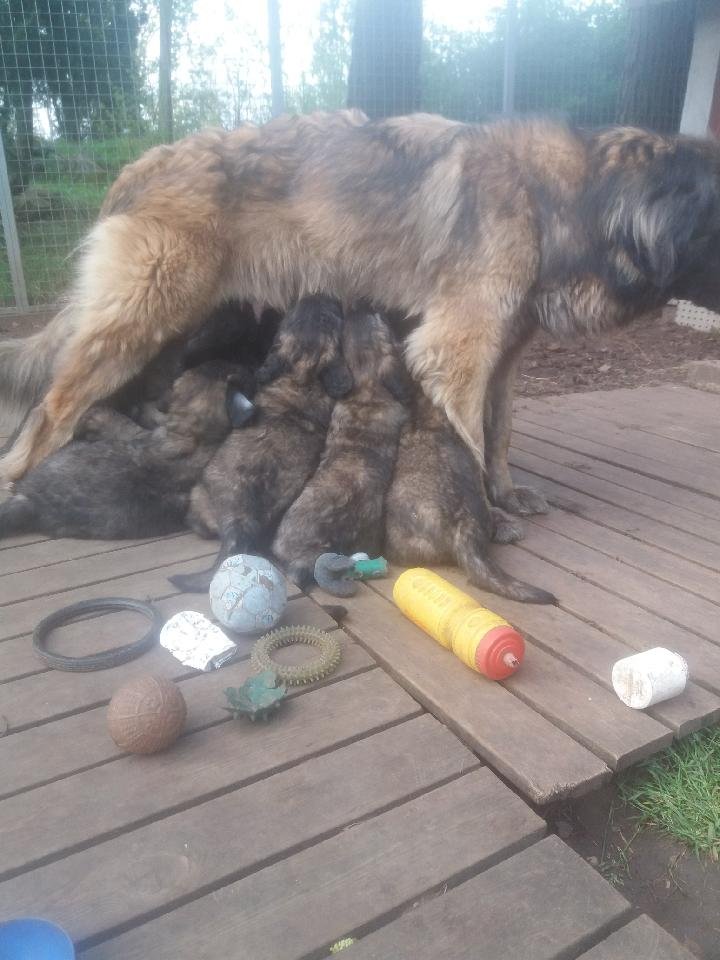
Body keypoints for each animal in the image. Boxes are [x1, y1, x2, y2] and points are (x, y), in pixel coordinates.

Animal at [170, 294, 353, 591]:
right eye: (296, 313)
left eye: (330, 316)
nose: (319, 294)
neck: (301, 375)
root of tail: (239, 520)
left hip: (197, 497)